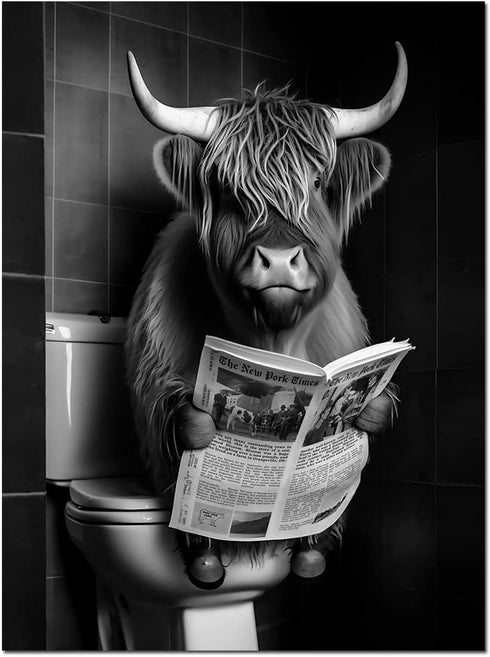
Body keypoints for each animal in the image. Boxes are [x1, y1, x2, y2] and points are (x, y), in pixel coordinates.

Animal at [125, 43, 407, 589]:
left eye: (316, 181)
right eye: (226, 187)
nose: (278, 260)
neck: (275, 341)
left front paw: (366, 412)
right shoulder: (156, 380)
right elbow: (181, 424)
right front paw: (203, 428)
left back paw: (309, 557)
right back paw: (208, 565)